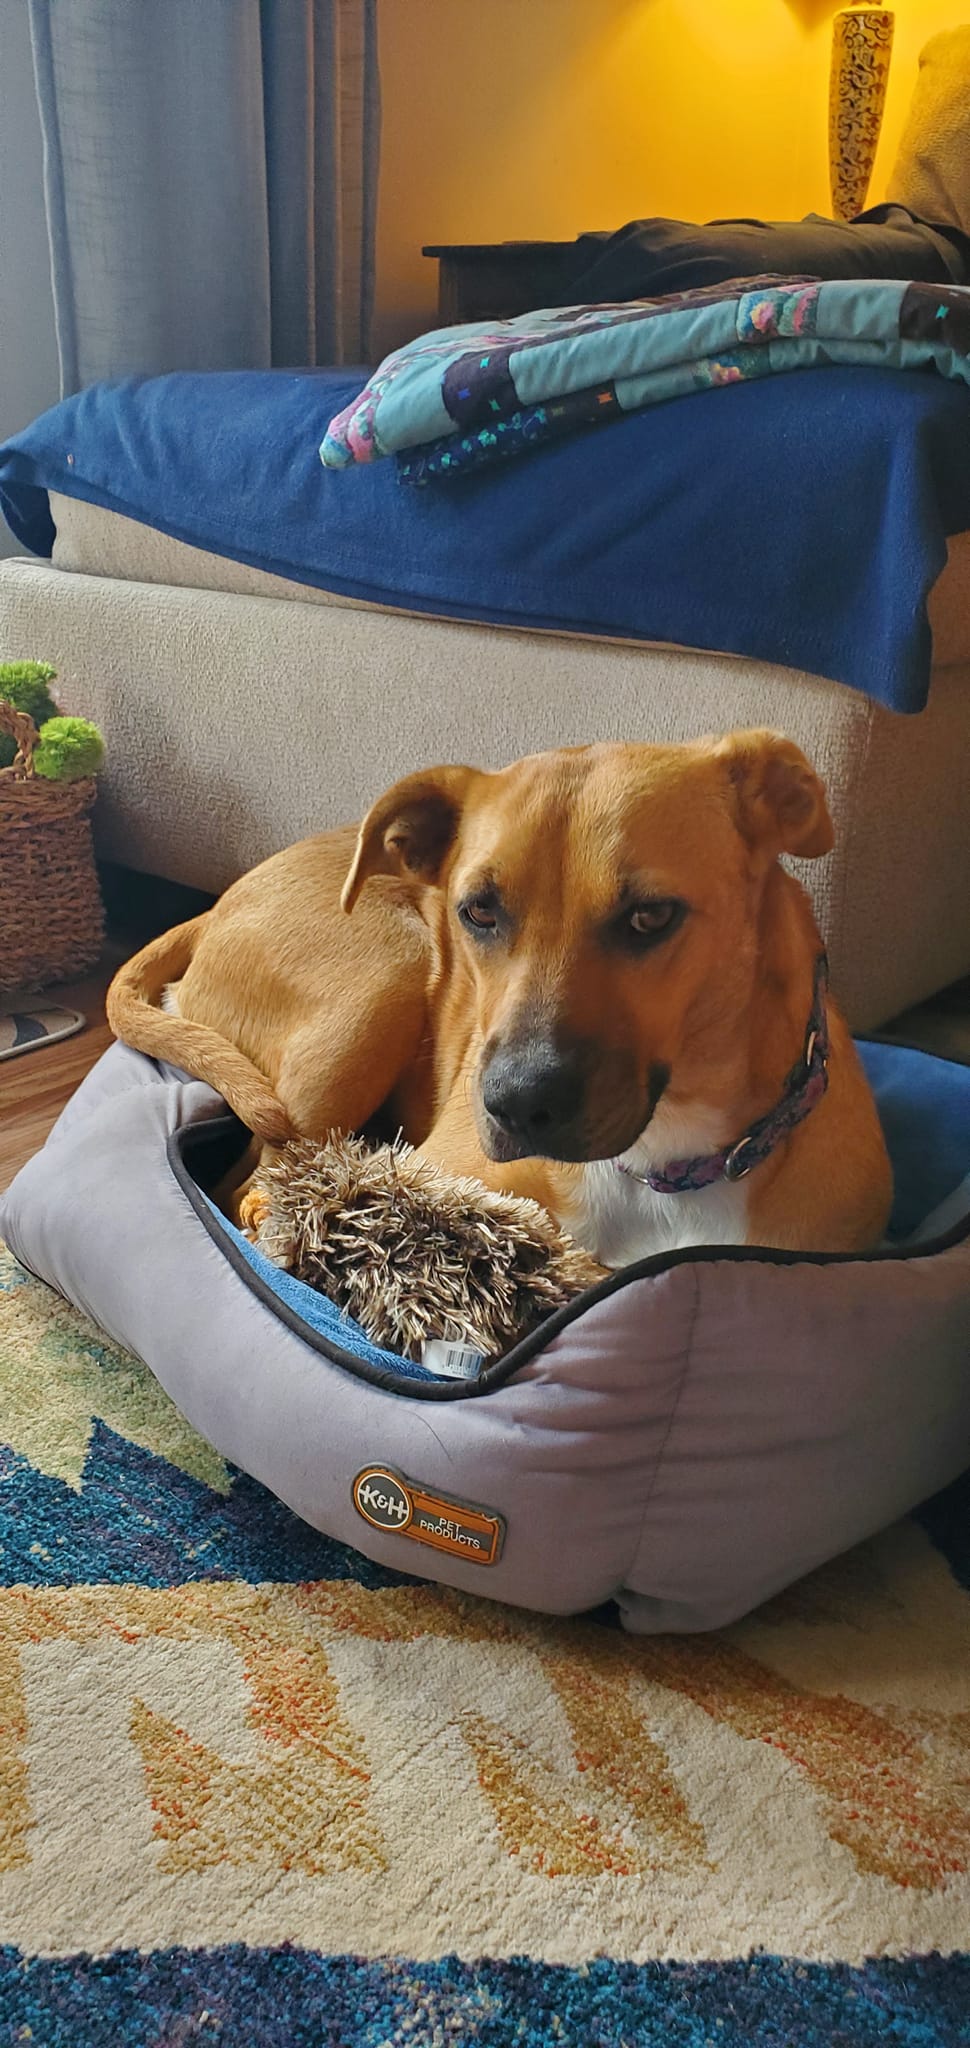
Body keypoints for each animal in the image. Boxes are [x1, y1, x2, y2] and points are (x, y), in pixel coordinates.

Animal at [107, 729, 892, 1253]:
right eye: (478, 911)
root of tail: (214, 907)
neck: (665, 1161)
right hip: (386, 977)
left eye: (650, 916)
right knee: (250, 1194)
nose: (517, 1104)